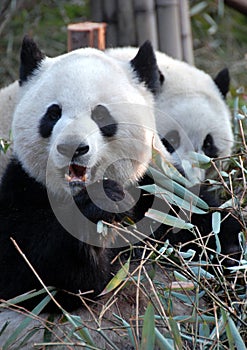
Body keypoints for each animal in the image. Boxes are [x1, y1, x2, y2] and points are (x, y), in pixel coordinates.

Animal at [0, 37, 167, 312]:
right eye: (53, 113)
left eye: (100, 114)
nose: (72, 147)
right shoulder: (22, 188)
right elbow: (32, 274)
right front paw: (101, 205)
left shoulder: (159, 187)